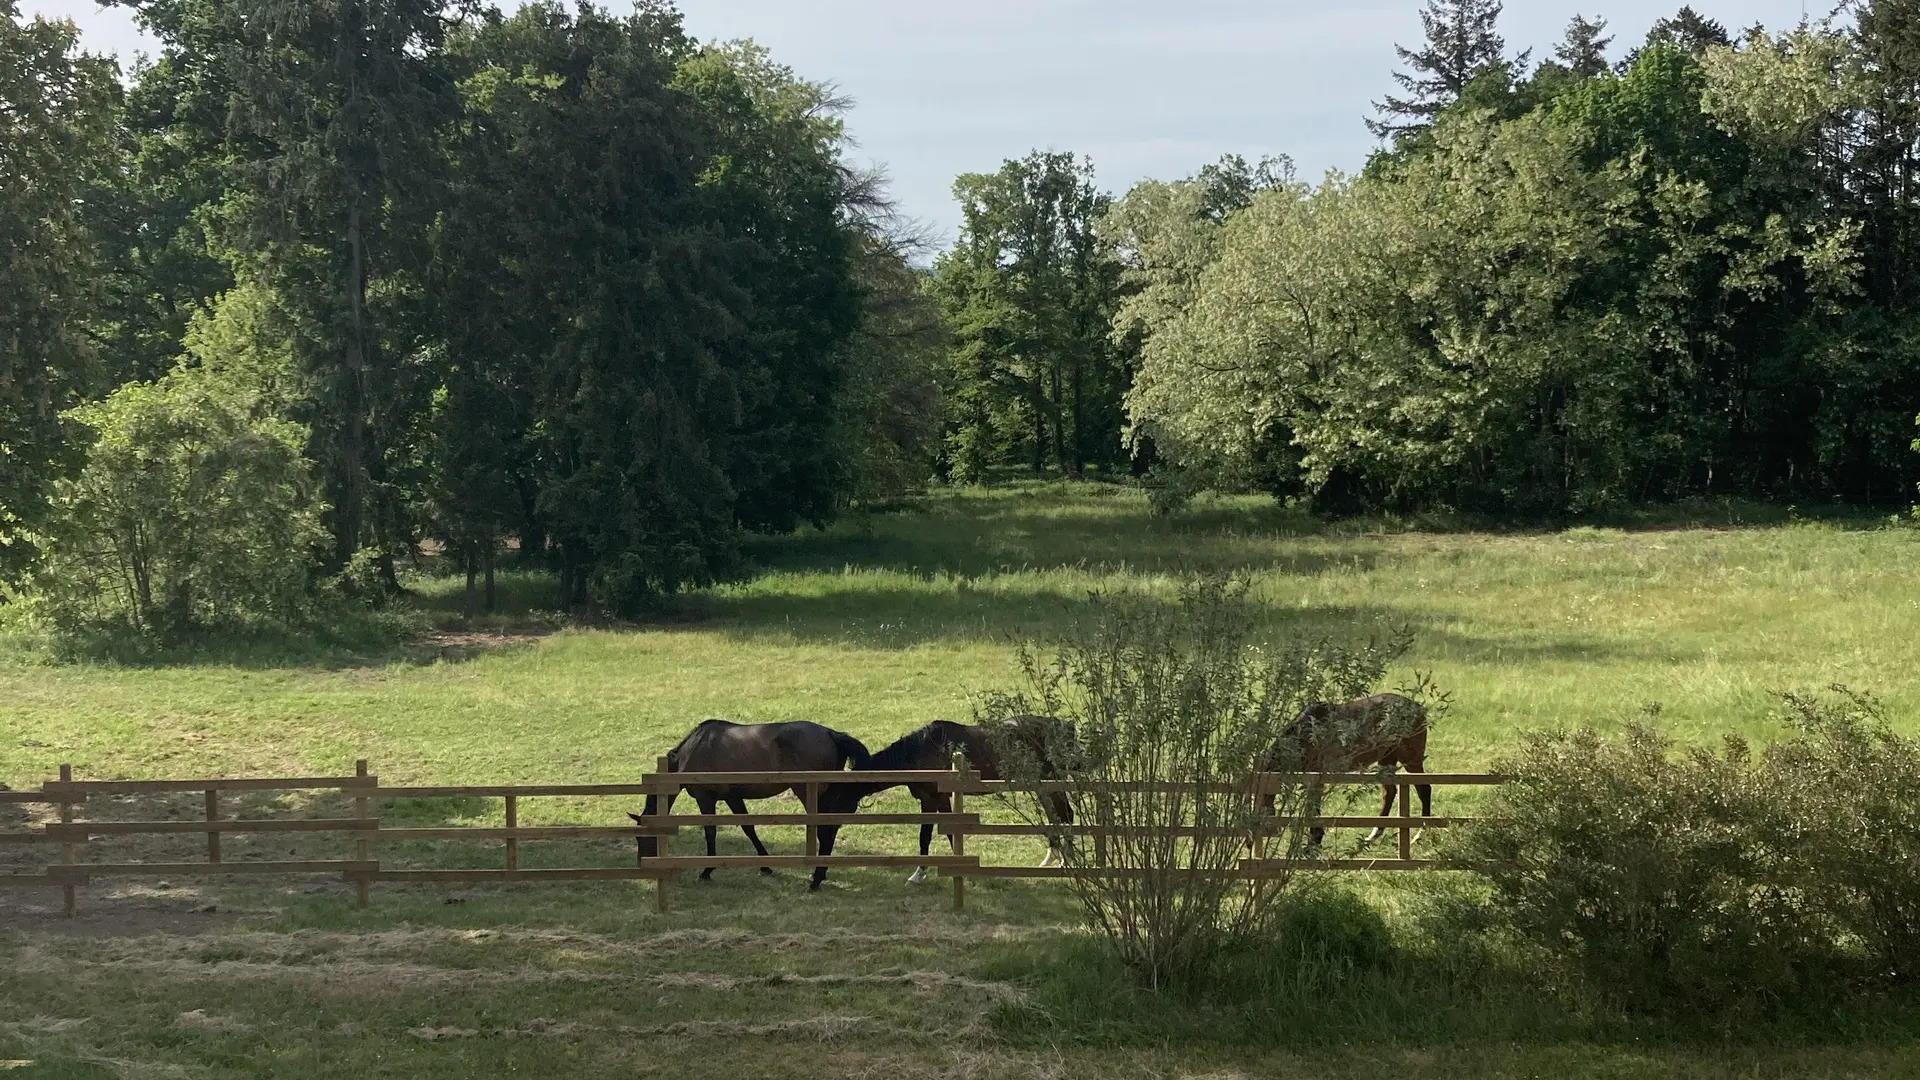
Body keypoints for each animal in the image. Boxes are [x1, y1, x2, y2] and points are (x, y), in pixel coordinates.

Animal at [629, 714, 871, 876]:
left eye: (641, 837)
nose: (642, 864)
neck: (693, 750)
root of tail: (831, 734)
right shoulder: (733, 797)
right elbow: (748, 828)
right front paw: (765, 865)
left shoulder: (705, 798)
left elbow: (710, 832)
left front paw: (707, 870)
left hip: (809, 792)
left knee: (825, 829)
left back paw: (817, 877)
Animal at [814, 714, 1082, 883]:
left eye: (835, 801)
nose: (824, 834)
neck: (920, 752)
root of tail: (1060, 725)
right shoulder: (926, 799)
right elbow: (924, 836)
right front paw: (918, 874)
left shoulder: (940, 797)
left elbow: (951, 833)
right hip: (1040, 785)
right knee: (1056, 815)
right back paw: (1050, 859)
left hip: (1051, 783)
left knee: (1066, 814)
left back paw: (1064, 862)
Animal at [1259, 687, 1428, 849]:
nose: (1270, 832)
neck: (1307, 735)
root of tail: (1419, 708)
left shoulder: (1316, 779)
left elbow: (1313, 810)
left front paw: (1313, 844)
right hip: (1387, 758)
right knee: (1390, 792)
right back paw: (1373, 836)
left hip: (1410, 760)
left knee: (1424, 789)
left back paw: (1420, 835)